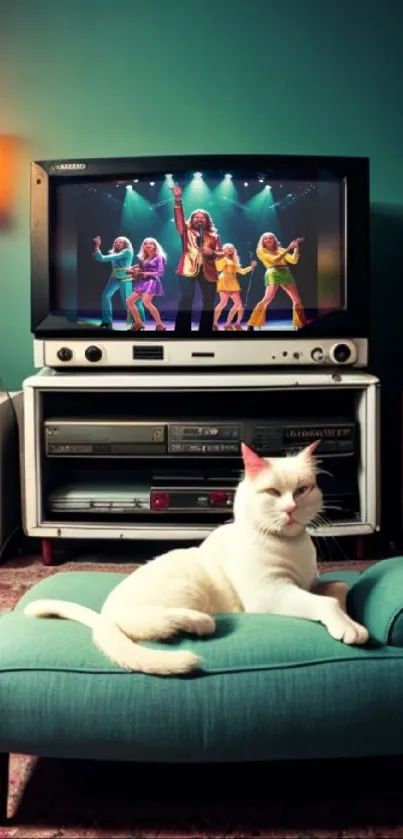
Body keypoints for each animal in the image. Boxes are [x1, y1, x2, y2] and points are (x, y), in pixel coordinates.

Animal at [23, 442, 368, 680]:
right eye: (272, 492)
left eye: (302, 490)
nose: (290, 509)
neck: (290, 545)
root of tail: (103, 616)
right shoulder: (272, 593)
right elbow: (325, 603)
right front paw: (349, 627)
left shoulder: (309, 582)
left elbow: (338, 587)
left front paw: (350, 616)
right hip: (185, 589)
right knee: (145, 624)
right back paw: (196, 622)